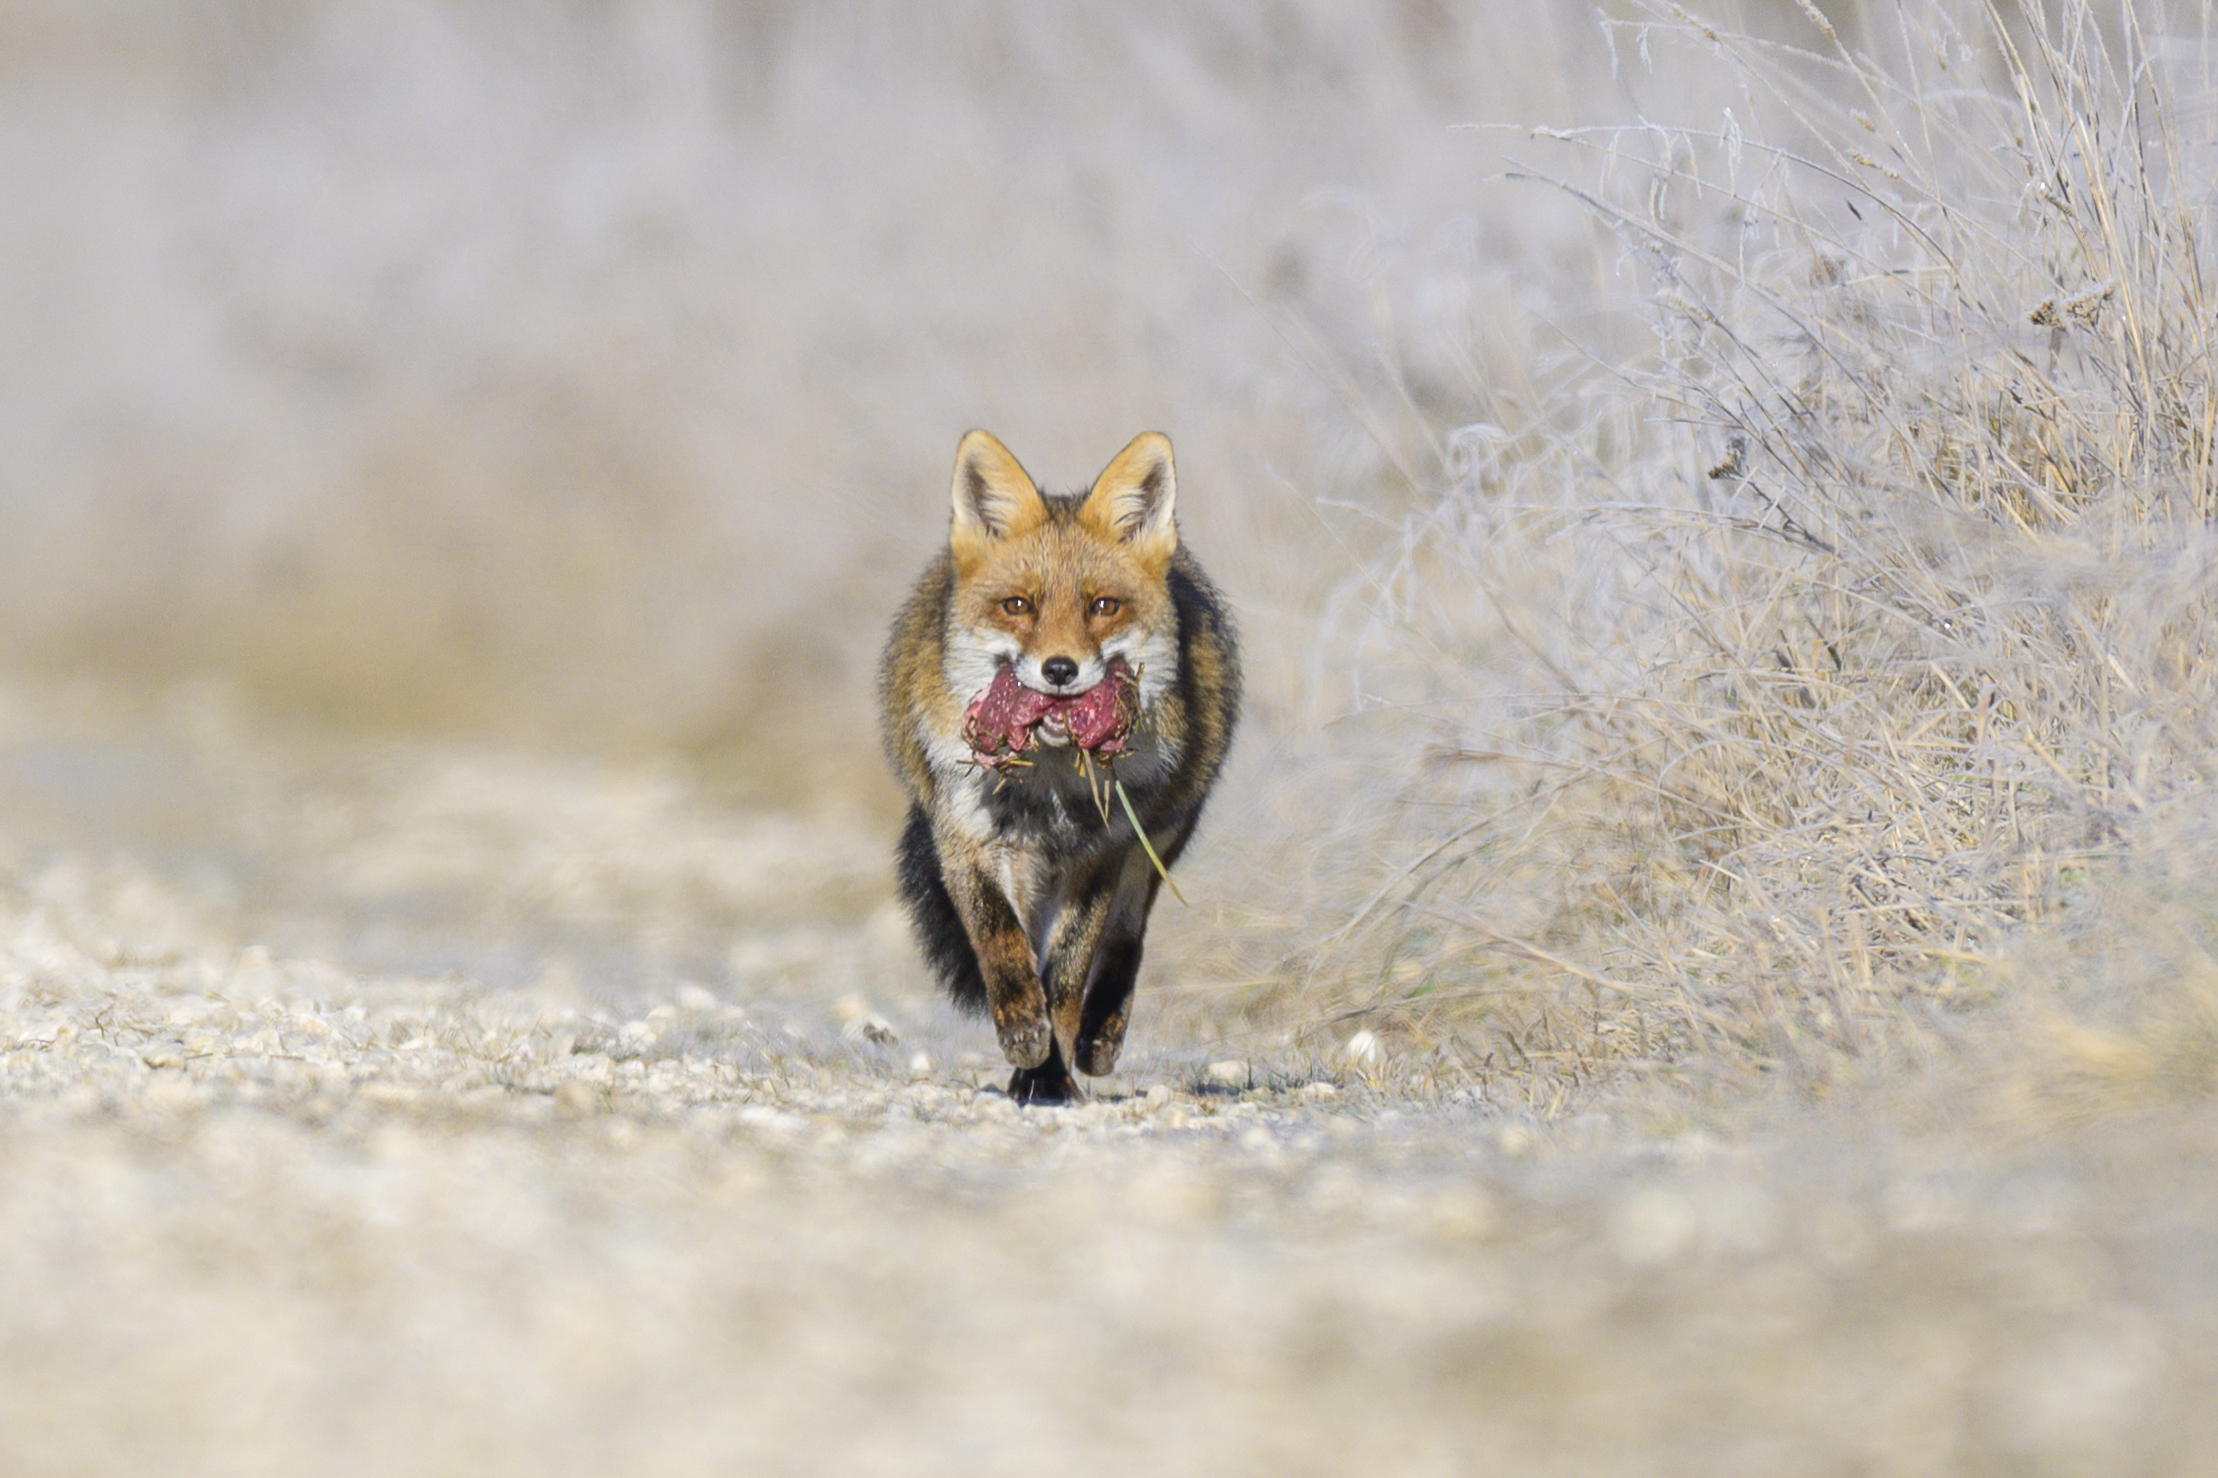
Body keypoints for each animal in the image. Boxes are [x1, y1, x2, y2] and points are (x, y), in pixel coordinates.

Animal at [880, 430, 1240, 1103]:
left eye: (1103, 605)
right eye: (1017, 605)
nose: (1060, 670)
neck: (1046, 786)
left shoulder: (1101, 852)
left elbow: (1069, 971)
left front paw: (1049, 1074)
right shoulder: (965, 838)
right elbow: (1001, 941)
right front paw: (1025, 1030)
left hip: (1155, 840)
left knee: (1127, 936)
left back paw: (1097, 1037)